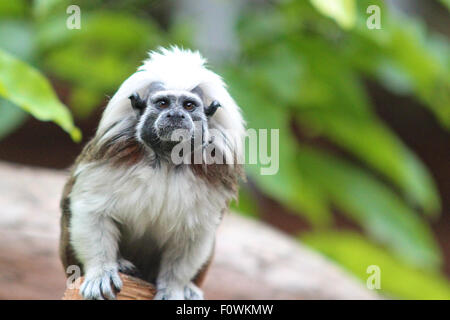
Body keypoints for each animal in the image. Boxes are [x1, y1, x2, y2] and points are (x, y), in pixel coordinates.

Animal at [59, 47, 246, 300]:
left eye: (189, 106)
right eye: (163, 103)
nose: (175, 115)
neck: (167, 160)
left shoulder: (213, 175)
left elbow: (195, 234)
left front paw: (175, 287)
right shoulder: (109, 155)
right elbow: (91, 210)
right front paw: (101, 272)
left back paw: (190, 288)